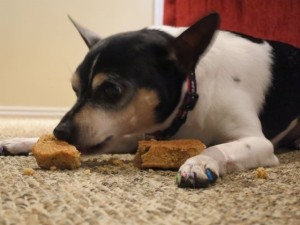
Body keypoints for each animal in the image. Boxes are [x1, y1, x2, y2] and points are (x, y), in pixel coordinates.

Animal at [0, 12, 300, 188]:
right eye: (75, 89)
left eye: (111, 91)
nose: (60, 131)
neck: (192, 96)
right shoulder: (135, 133)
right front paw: (25, 141)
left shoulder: (257, 142)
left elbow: (217, 148)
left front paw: (199, 162)